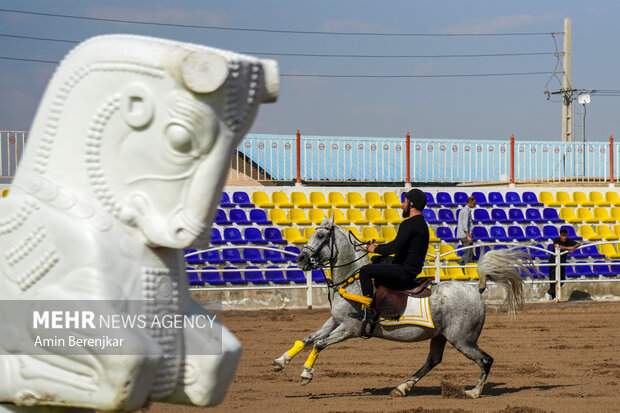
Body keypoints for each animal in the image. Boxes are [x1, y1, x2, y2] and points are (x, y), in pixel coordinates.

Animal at [272, 217, 532, 398]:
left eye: (321, 235)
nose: (301, 260)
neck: (352, 279)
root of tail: (476, 289)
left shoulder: (350, 328)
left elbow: (318, 343)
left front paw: (306, 374)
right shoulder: (335, 321)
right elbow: (307, 339)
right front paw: (280, 361)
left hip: (463, 340)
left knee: (485, 360)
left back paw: (474, 392)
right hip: (441, 337)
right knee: (433, 361)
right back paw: (402, 387)